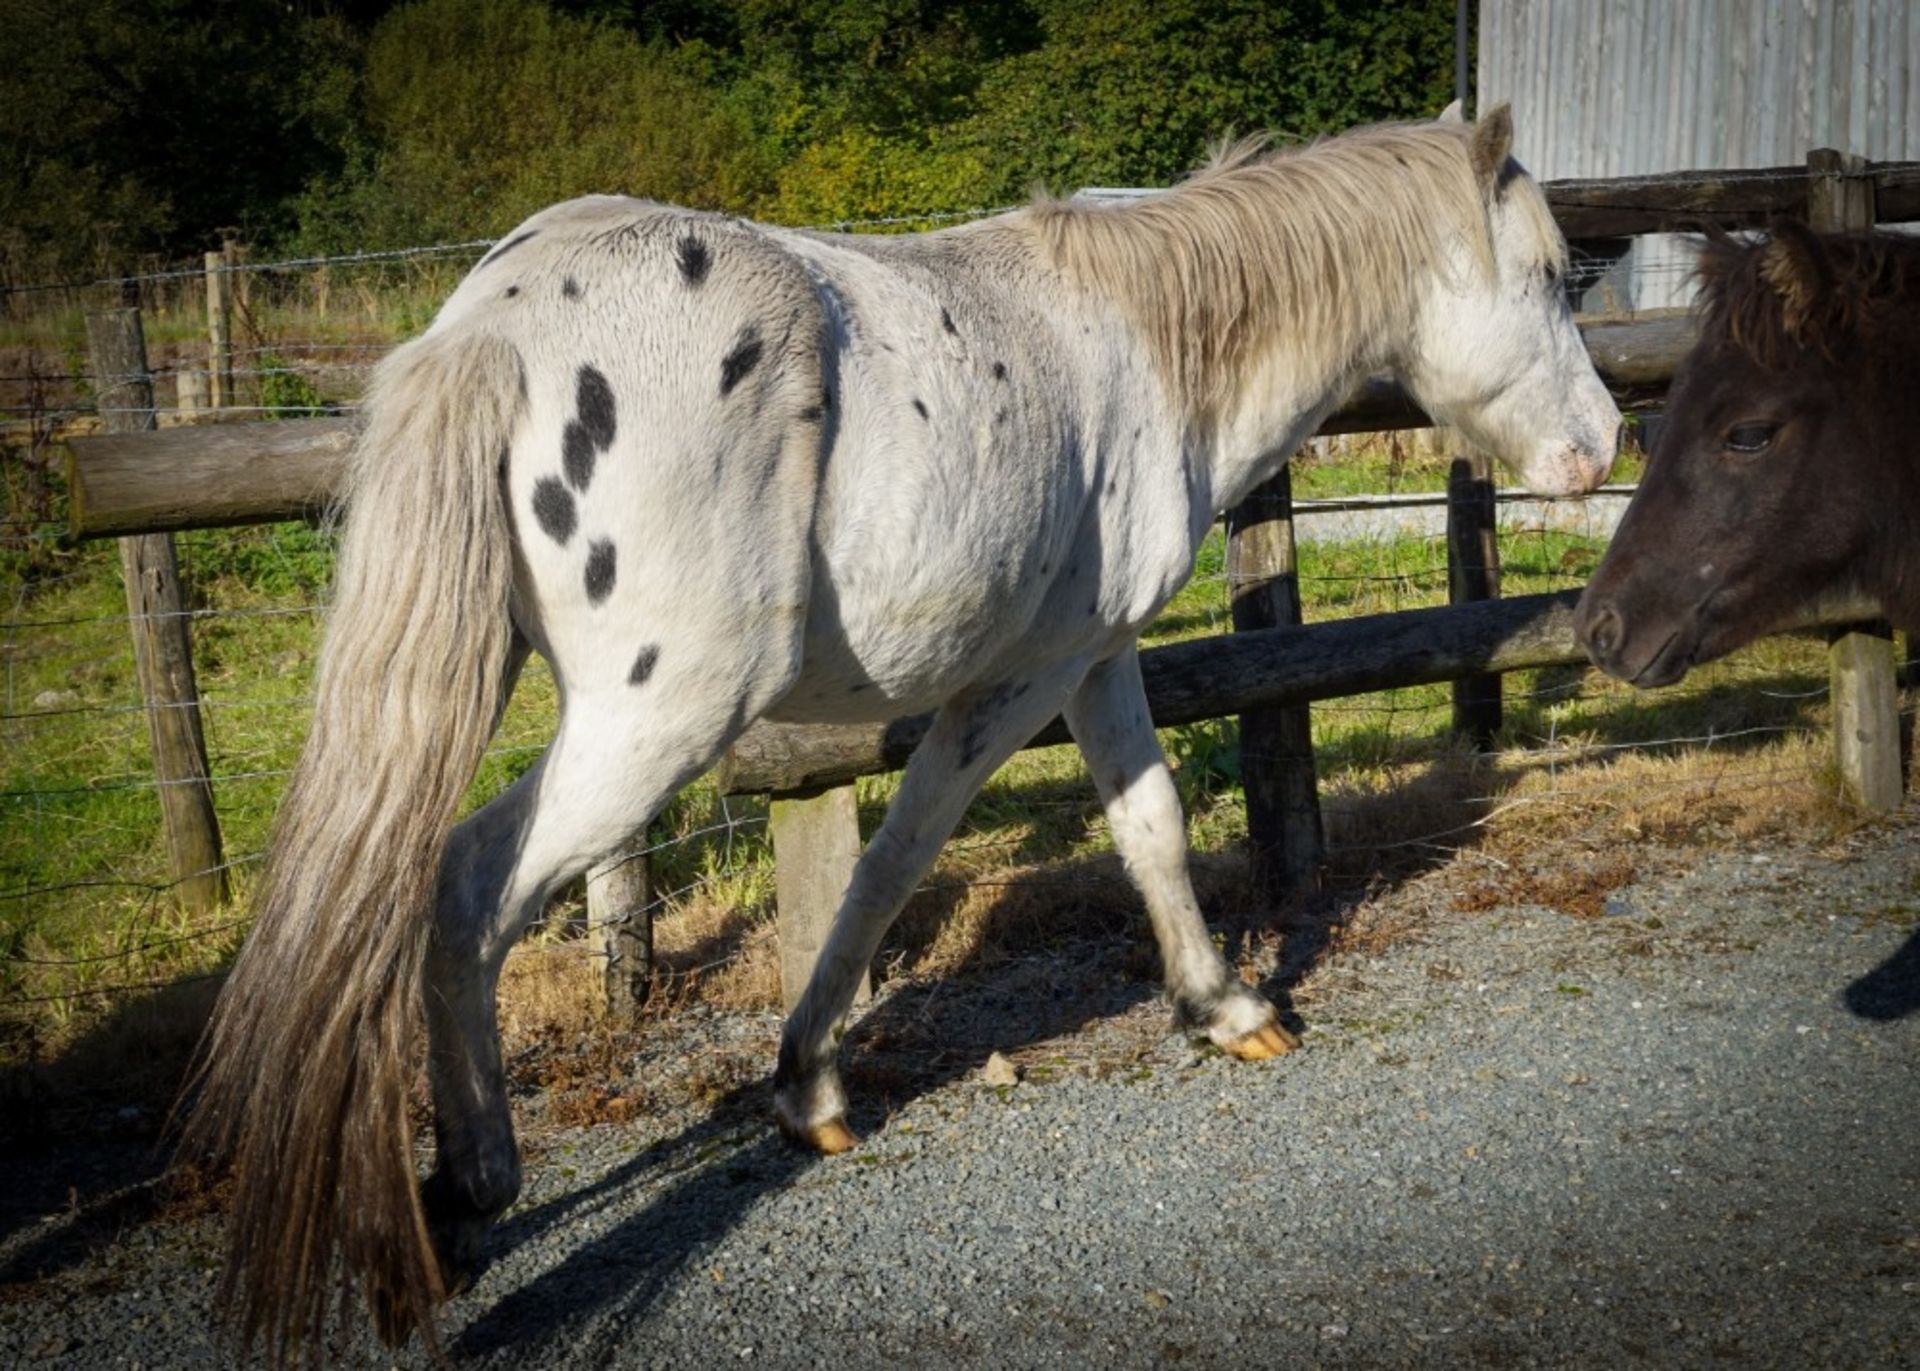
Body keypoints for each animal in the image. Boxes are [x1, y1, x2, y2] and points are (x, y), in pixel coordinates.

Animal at [183, 101, 1620, 1351]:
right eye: (1554, 278)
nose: (1601, 446)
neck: (1146, 342)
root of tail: (500, 326)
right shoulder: (1015, 681)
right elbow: (889, 866)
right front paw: (810, 1084)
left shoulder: (1096, 656)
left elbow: (1151, 826)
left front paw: (1223, 1004)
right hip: (659, 720)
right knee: (468, 888)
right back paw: (475, 1184)